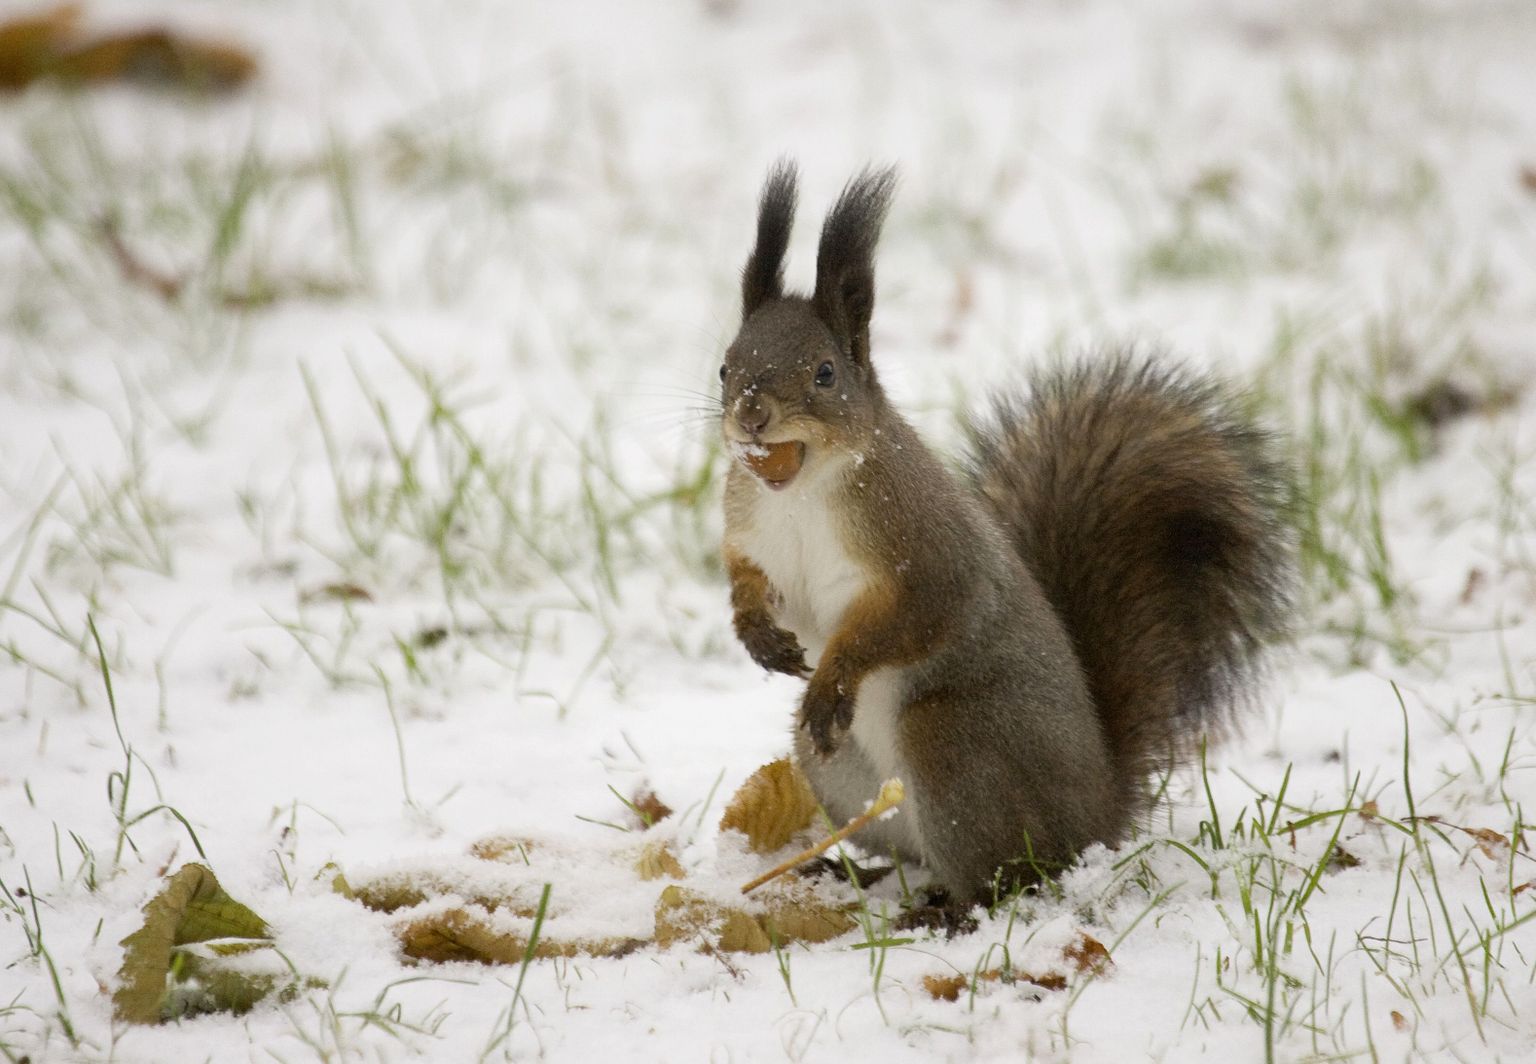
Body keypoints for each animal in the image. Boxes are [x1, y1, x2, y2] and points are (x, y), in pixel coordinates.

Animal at [718, 161, 1296, 908]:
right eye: (725, 365)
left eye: (825, 372)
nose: (751, 413)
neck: (801, 494)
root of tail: (1099, 815)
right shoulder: (751, 532)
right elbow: (746, 581)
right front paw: (757, 635)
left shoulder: (924, 550)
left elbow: (913, 617)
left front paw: (833, 677)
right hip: (844, 773)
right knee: (907, 850)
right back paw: (852, 872)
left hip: (952, 743)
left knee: (1003, 876)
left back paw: (947, 911)